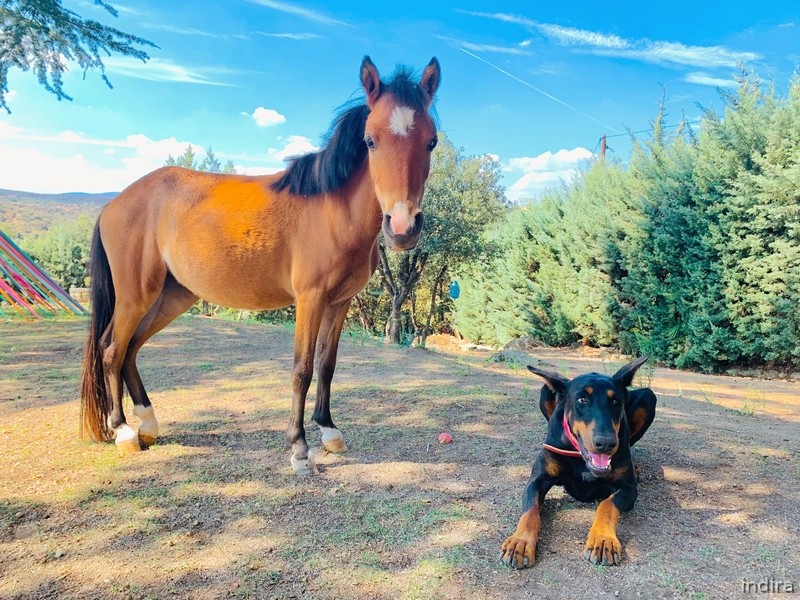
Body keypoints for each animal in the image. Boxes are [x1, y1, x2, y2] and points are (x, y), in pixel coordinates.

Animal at [79, 56, 441, 475]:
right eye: (370, 140)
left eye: (431, 141)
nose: (403, 227)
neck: (332, 210)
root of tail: (114, 202)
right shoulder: (310, 299)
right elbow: (302, 369)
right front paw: (299, 448)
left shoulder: (339, 303)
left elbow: (327, 365)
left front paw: (329, 432)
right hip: (136, 295)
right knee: (111, 349)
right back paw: (123, 432)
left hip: (171, 297)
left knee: (131, 349)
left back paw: (149, 425)